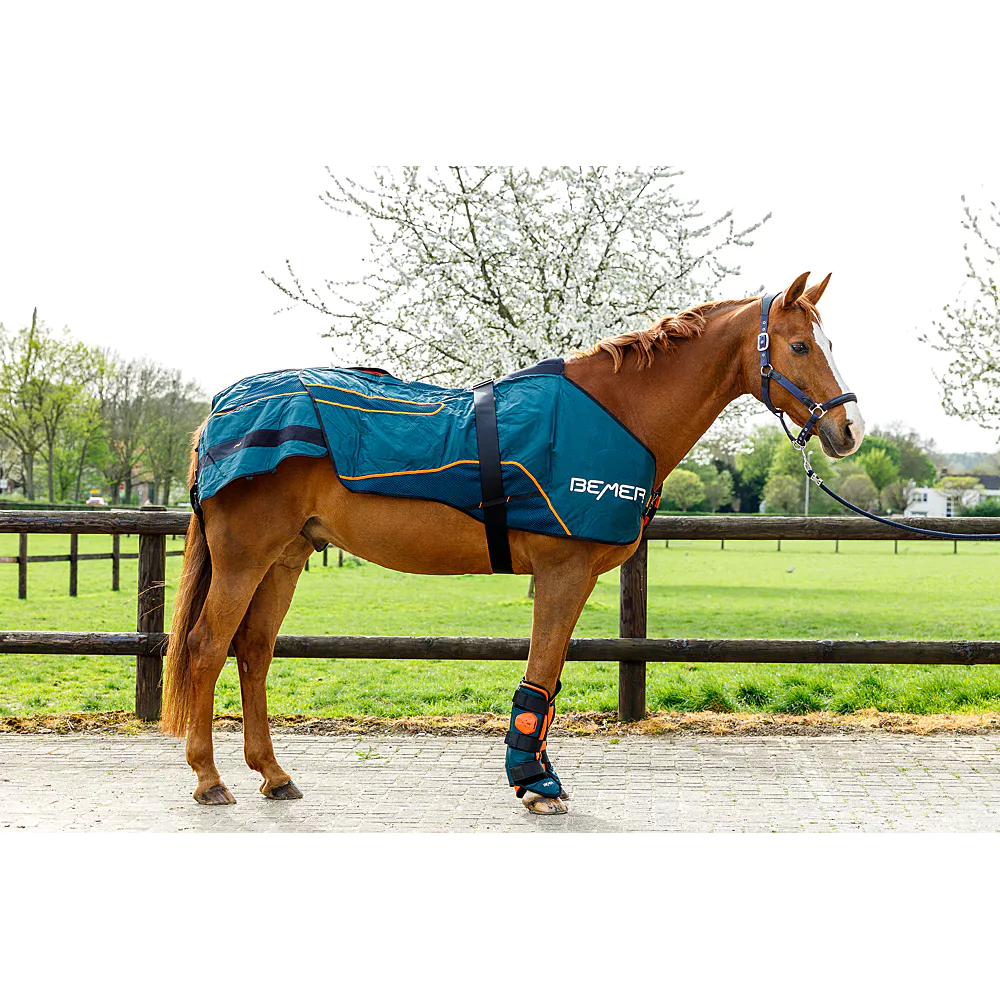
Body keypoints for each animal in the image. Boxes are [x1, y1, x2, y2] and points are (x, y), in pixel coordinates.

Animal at [161, 271, 865, 815]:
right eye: (801, 345)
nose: (849, 430)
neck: (617, 412)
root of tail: (220, 411)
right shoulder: (563, 573)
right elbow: (542, 672)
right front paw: (535, 783)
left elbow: (546, 680)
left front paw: (537, 775)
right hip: (245, 560)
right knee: (205, 648)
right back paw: (209, 779)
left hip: (285, 559)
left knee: (253, 651)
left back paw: (273, 775)